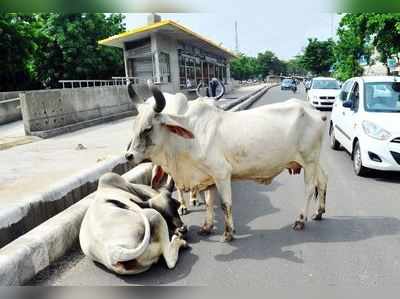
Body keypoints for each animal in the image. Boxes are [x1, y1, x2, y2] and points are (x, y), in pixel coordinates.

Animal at [126, 83, 328, 243]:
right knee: (323, 180)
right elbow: (209, 202)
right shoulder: (207, 177)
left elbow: (225, 204)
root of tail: (314, 111)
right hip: (314, 160)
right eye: (134, 126)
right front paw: (207, 227)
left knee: (309, 189)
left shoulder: (221, 173)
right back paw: (319, 212)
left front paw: (228, 233)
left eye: (148, 128)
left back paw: (300, 220)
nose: (128, 156)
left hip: (309, 161)